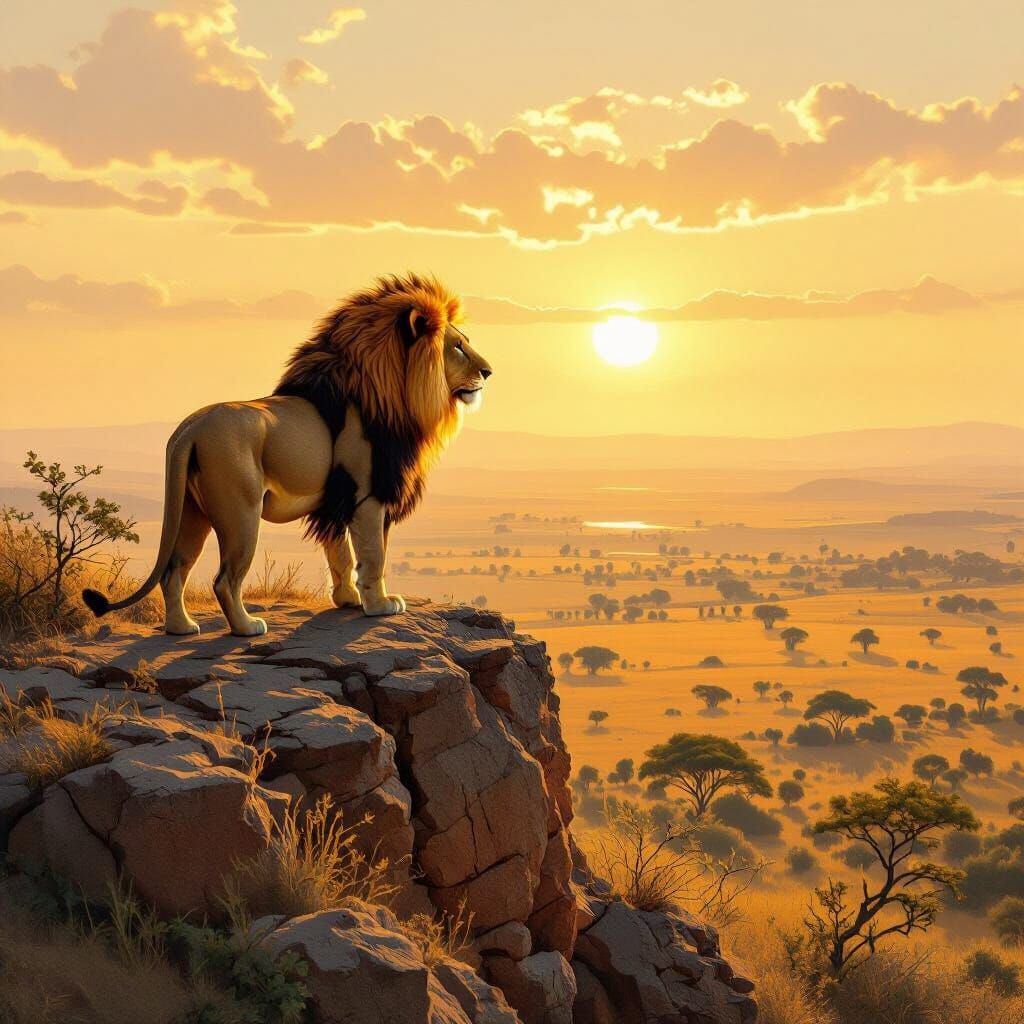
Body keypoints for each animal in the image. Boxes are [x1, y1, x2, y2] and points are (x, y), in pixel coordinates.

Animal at [82, 274, 491, 637]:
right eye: (457, 346)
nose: (489, 371)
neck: (394, 396)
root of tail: (189, 430)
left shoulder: (336, 502)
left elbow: (340, 556)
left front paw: (347, 600)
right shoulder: (367, 495)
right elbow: (374, 556)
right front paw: (379, 606)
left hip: (192, 513)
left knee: (173, 571)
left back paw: (181, 628)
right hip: (241, 513)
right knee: (224, 580)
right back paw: (247, 628)